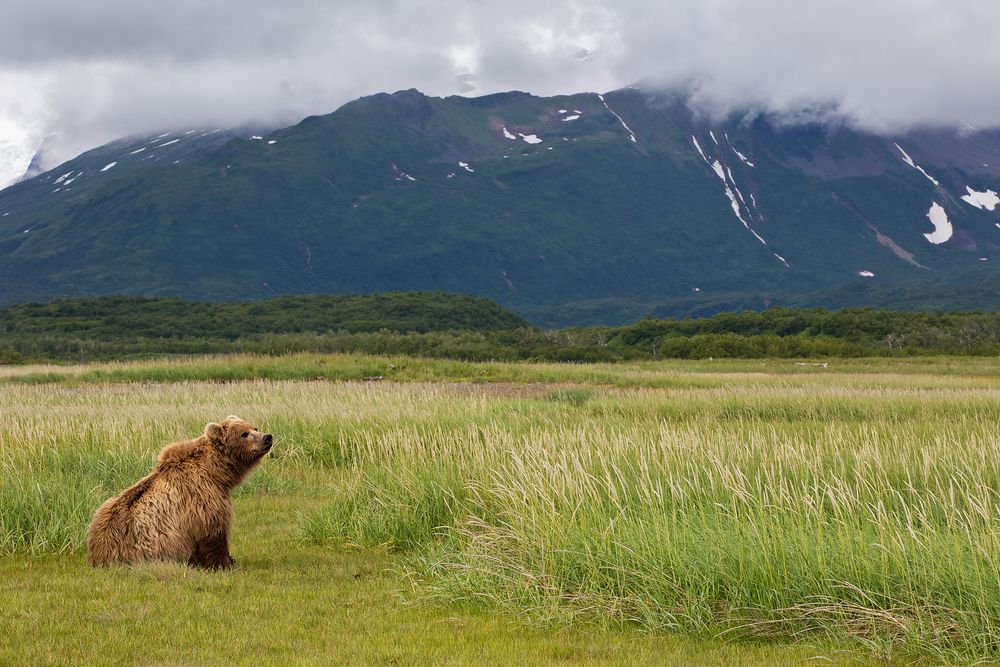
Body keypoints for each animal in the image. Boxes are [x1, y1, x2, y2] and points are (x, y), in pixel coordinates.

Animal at [86, 416, 273, 569]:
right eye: (244, 434)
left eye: (254, 427)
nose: (267, 437)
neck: (214, 472)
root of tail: (97, 555)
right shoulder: (202, 497)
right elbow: (213, 531)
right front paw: (225, 563)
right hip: (153, 545)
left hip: (103, 511)